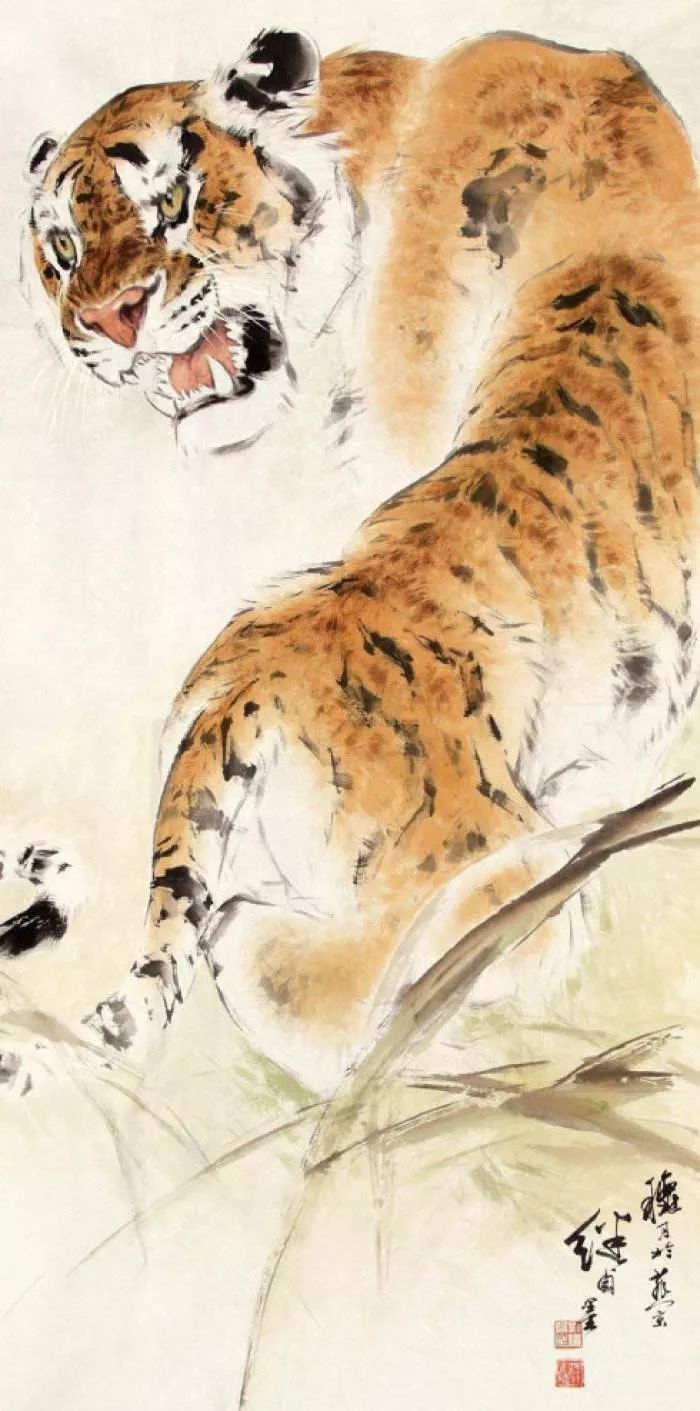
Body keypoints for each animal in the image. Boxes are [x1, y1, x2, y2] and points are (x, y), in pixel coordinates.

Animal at [4, 28, 700, 1096]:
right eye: (63, 251)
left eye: (175, 202)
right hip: (506, 877)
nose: (107, 320)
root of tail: (241, 694)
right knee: (325, 983)